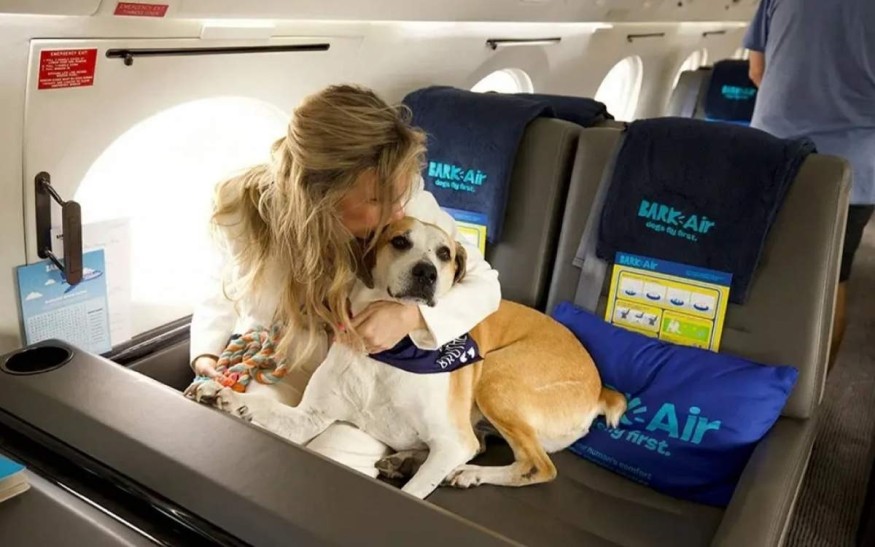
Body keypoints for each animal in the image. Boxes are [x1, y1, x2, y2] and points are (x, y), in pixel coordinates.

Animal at [196, 217, 626, 499]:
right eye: (400, 241)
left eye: (445, 253)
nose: (426, 272)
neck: (389, 353)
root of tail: (600, 388)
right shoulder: (309, 418)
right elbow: (266, 410)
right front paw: (224, 395)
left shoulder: (453, 441)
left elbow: (419, 489)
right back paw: (407, 460)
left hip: (495, 379)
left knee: (538, 465)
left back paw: (467, 474)